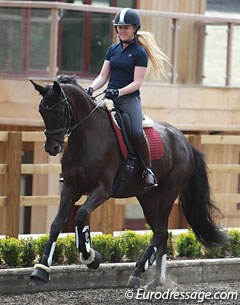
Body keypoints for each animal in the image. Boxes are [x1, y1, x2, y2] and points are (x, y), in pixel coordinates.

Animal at [30, 75, 229, 288]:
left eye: (59, 111)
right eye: (41, 110)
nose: (52, 147)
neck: (87, 137)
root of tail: (185, 142)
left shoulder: (102, 190)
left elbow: (81, 215)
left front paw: (91, 257)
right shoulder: (70, 187)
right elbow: (56, 224)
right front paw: (40, 271)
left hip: (168, 192)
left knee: (160, 231)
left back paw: (138, 272)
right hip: (148, 198)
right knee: (162, 232)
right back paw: (156, 280)